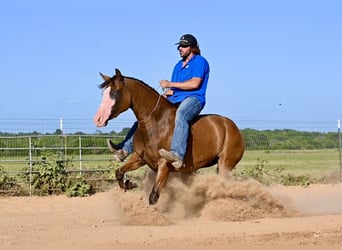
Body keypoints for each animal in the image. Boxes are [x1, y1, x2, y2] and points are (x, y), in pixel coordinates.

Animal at [93, 69, 243, 205]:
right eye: (103, 93)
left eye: (114, 93)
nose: (98, 119)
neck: (156, 123)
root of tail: (232, 126)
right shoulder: (140, 158)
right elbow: (119, 172)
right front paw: (129, 184)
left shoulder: (163, 166)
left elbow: (153, 197)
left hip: (225, 165)